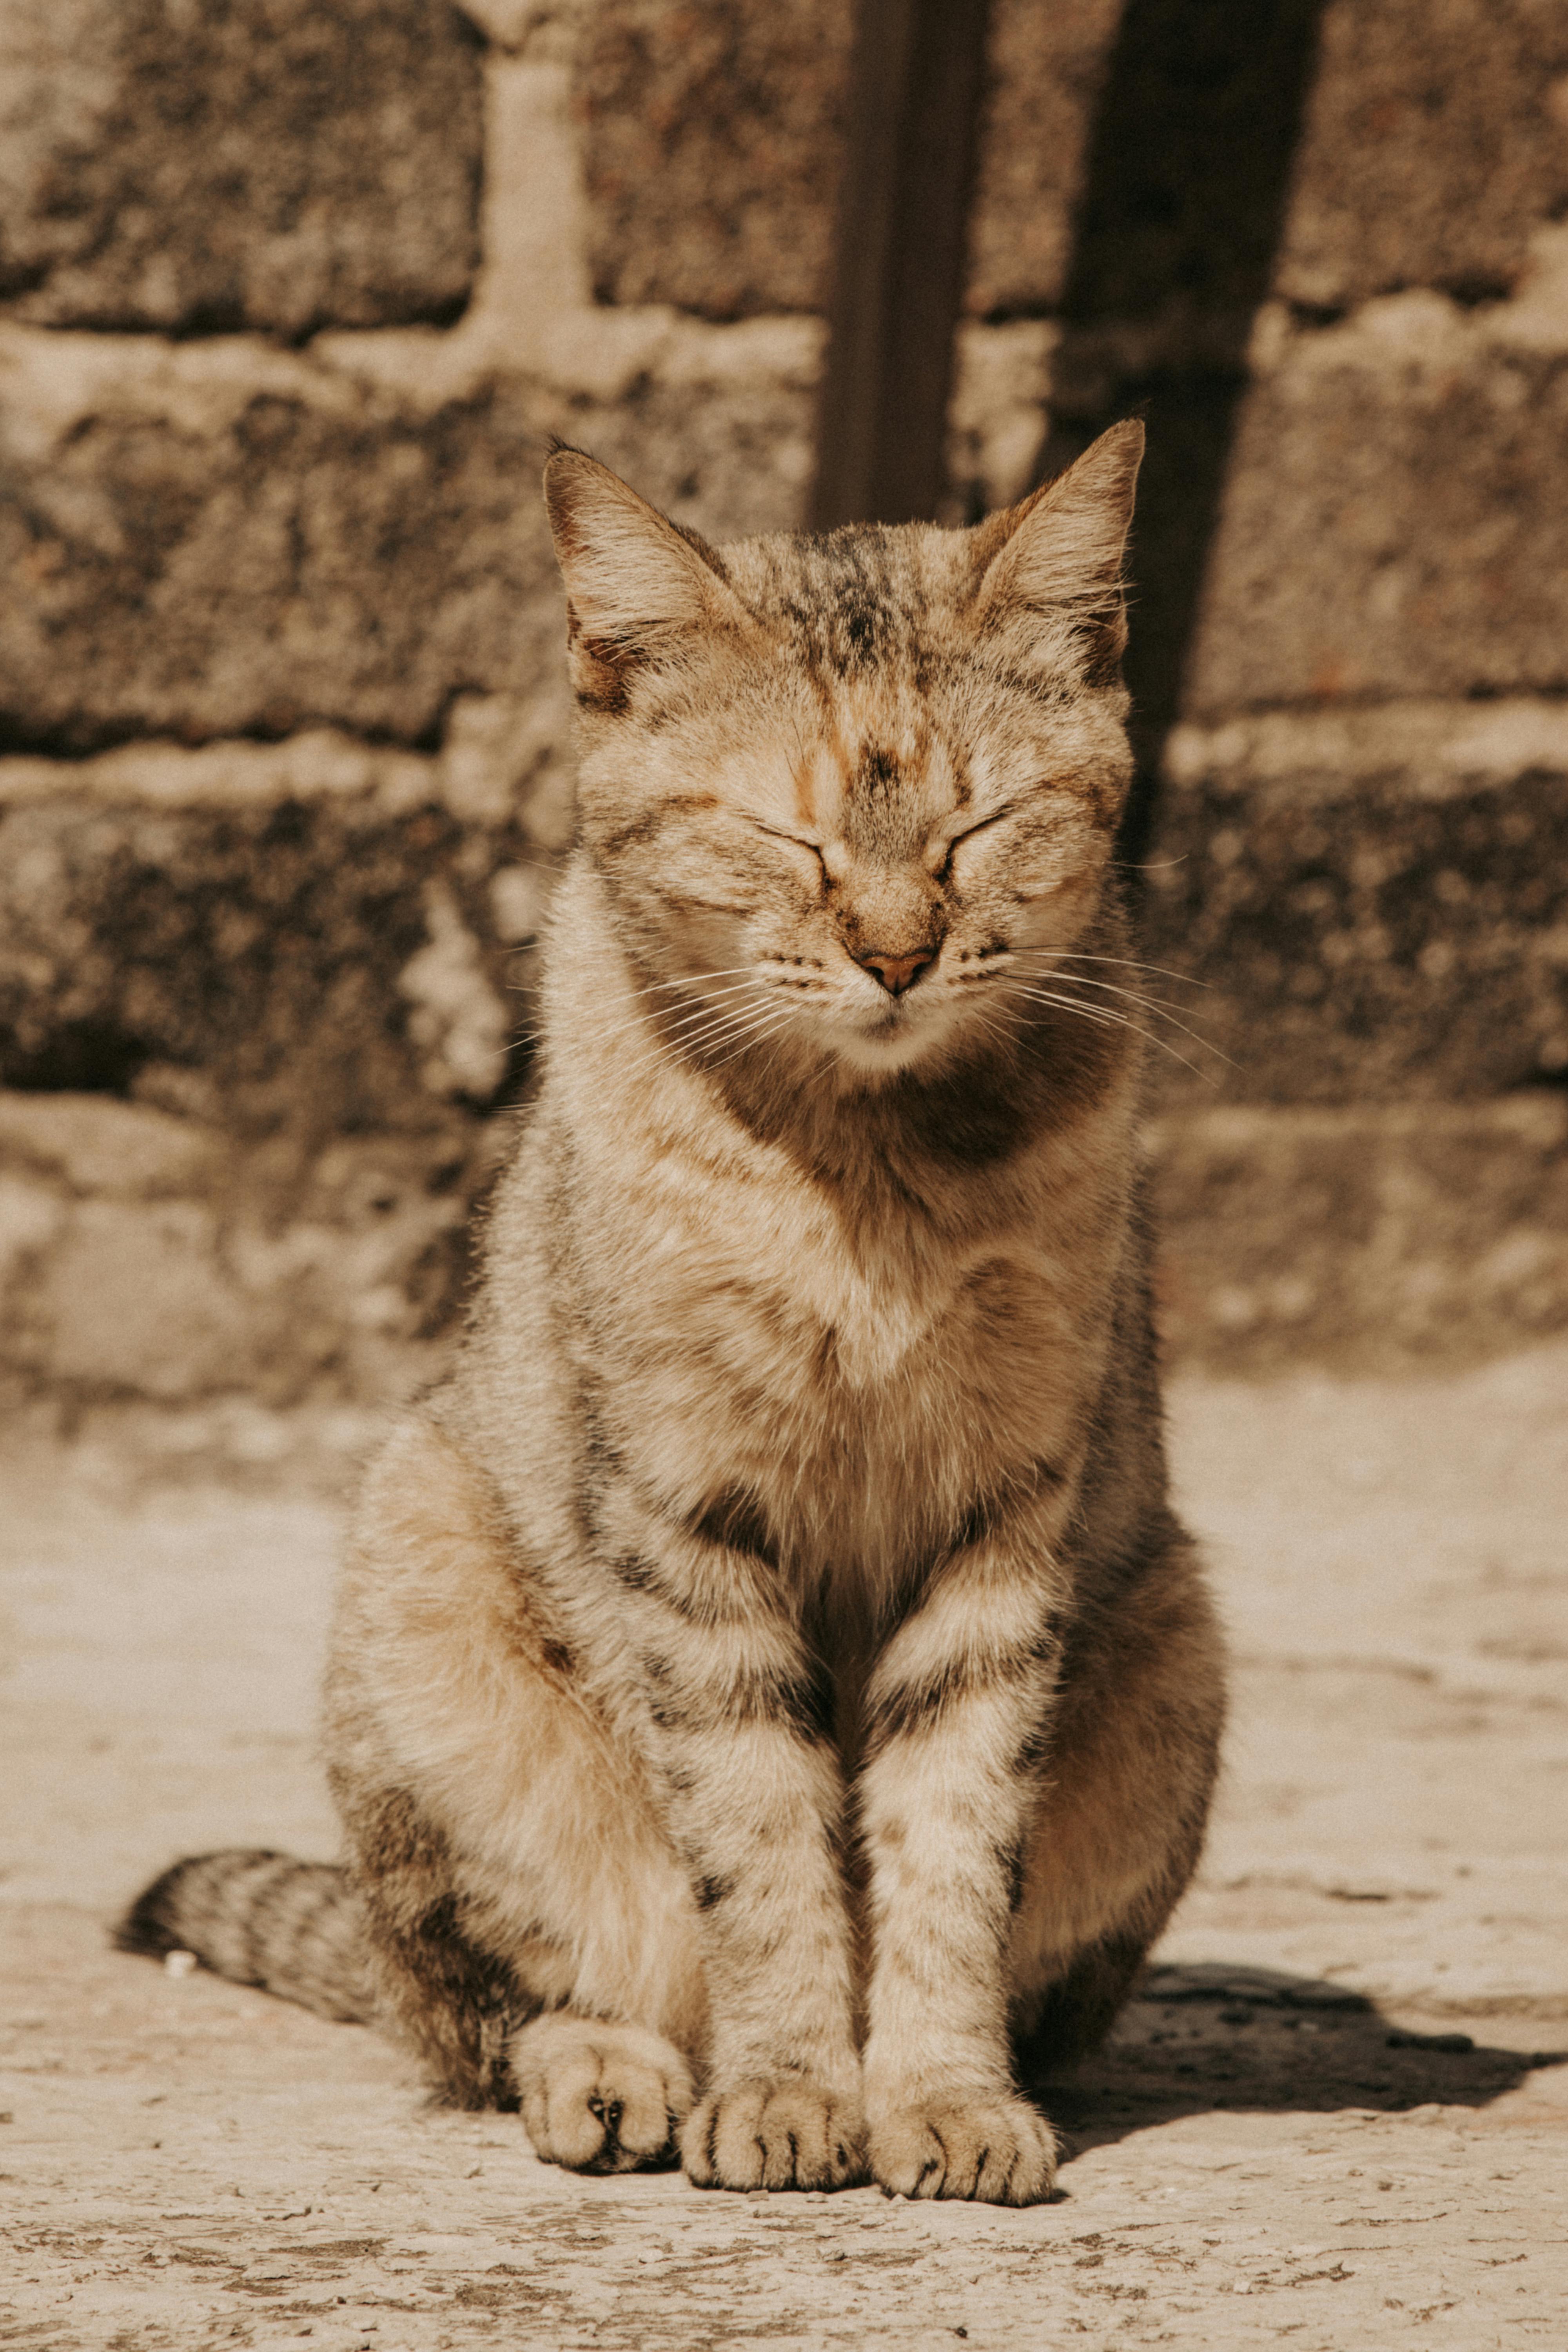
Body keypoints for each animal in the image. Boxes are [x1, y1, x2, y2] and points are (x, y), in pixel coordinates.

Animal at [123, 423, 1222, 2201]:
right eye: (785, 839)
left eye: (979, 827)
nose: (896, 952)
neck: (868, 1169)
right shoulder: (685, 1504)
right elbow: (760, 1842)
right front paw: (786, 2090)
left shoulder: (1009, 1513)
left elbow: (947, 1838)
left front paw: (938, 2095)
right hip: (424, 1585)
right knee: (500, 2003)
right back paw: (616, 2075)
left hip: (1174, 1650)